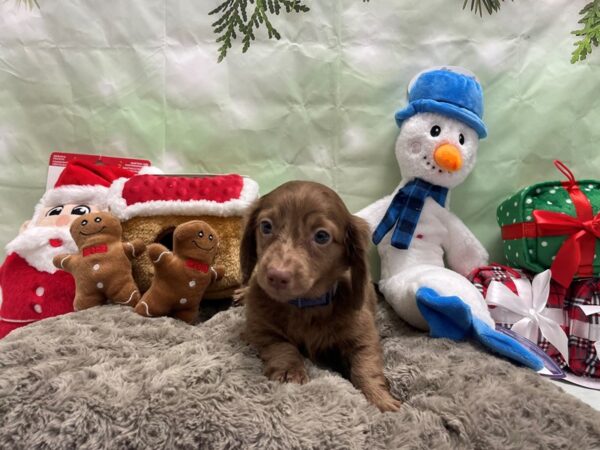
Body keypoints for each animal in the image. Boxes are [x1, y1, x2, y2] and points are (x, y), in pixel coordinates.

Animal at [241, 180, 400, 412]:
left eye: (322, 236)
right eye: (266, 226)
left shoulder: (363, 335)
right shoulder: (261, 329)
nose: (277, 276)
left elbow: (365, 365)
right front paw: (289, 372)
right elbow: (282, 346)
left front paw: (380, 399)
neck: (304, 306)